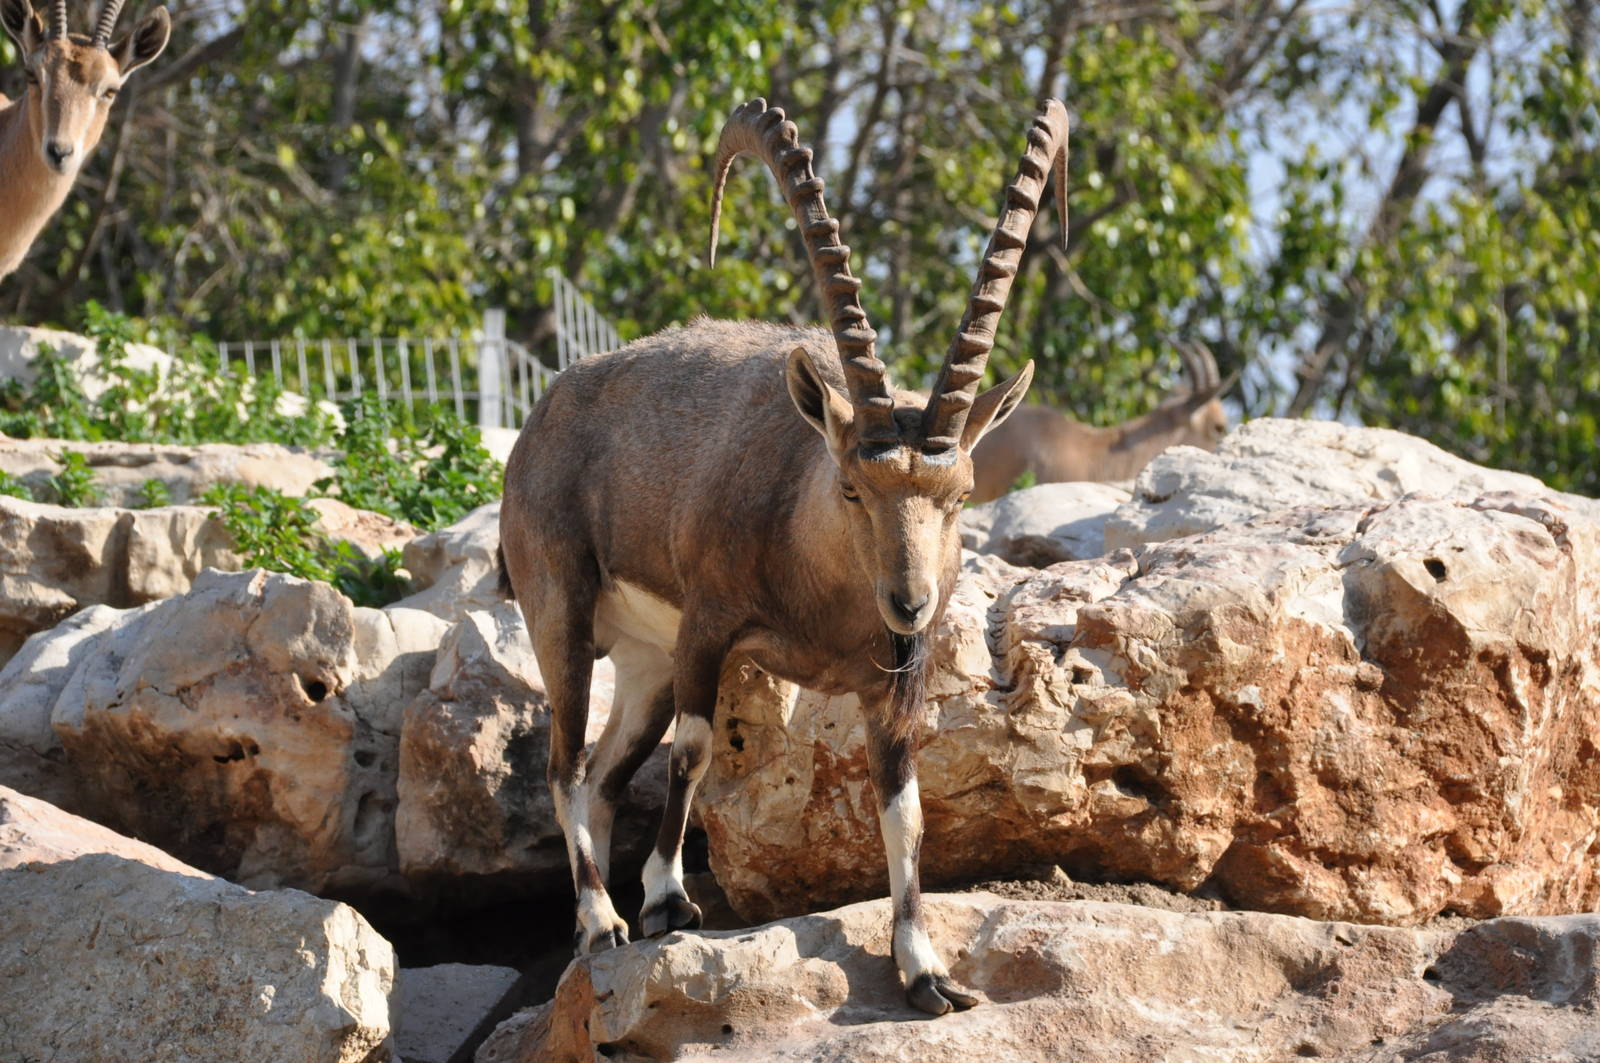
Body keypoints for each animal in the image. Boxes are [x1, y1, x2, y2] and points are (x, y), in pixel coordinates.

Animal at [498, 97, 1067, 1015]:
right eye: (851, 487)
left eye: (958, 496)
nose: (909, 602)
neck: (824, 598)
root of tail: (537, 418)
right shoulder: (706, 626)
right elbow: (695, 752)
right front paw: (668, 900)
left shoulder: (893, 686)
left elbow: (905, 808)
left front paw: (926, 968)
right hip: (561, 608)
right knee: (565, 762)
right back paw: (602, 919)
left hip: (646, 661)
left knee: (606, 775)